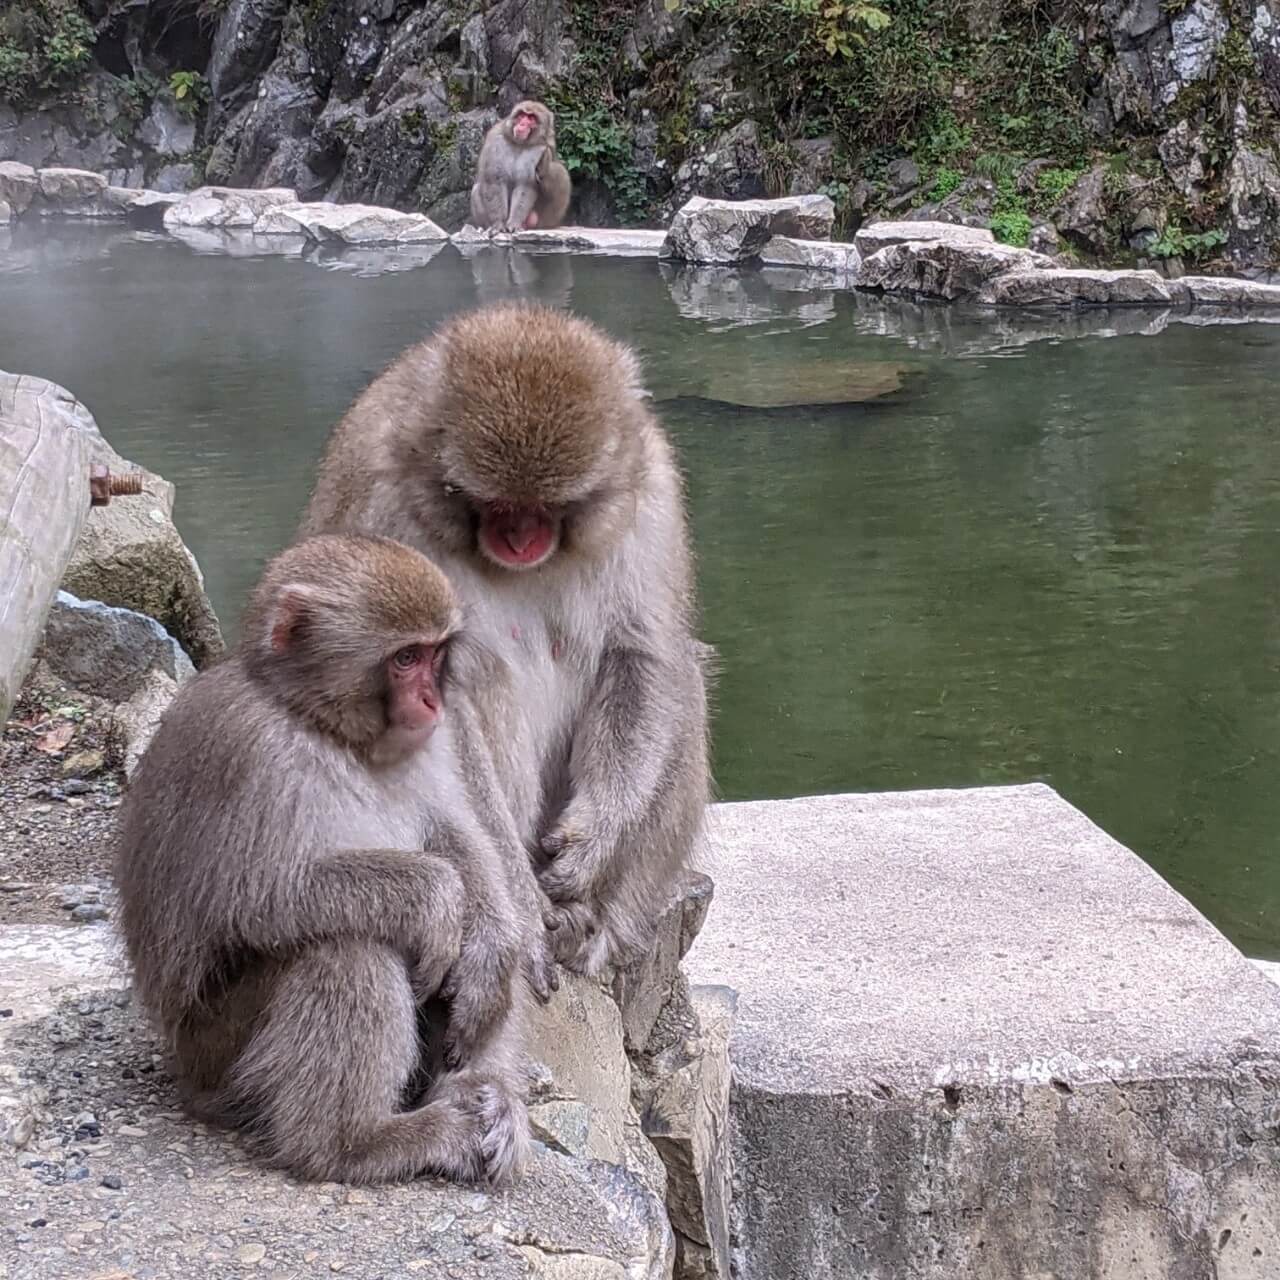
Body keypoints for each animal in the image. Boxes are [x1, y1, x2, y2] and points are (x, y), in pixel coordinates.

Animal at [113, 532, 540, 1187]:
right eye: (405, 659)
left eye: (435, 654)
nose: (432, 700)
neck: (325, 727)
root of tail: (186, 1073)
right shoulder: (253, 753)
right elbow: (259, 897)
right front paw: (435, 897)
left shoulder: (432, 745)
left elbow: (456, 833)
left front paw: (491, 953)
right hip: (217, 1052)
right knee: (346, 947)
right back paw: (355, 1143)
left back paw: (483, 1092)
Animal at [304, 304, 716, 972]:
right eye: (491, 500)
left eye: (553, 504)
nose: (520, 536)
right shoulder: (384, 505)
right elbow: (440, 692)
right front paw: (519, 911)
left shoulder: (650, 488)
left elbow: (643, 654)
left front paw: (594, 840)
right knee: (485, 681)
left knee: (684, 680)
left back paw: (600, 922)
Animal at [471, 99, 570, 232]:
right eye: (522, 115)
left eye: (531, 118)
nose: (522, 124)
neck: (520, 144)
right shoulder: (496, 140)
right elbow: (495, 181)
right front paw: (499, 223)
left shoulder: (539, 149)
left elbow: (525, 185)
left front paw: (514, 222)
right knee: (476, 189)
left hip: (546, 219)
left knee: (560, 171)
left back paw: (544, 167)